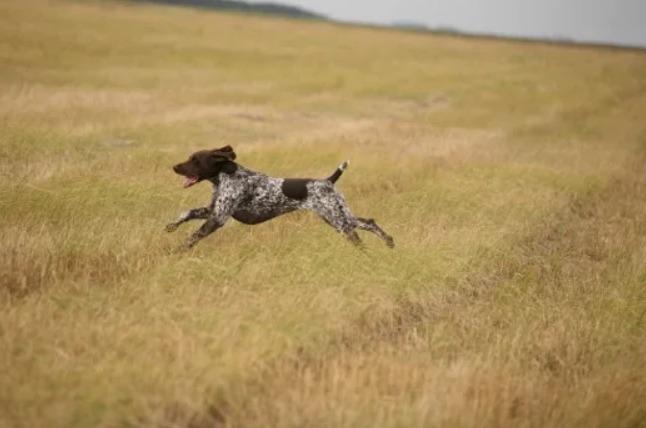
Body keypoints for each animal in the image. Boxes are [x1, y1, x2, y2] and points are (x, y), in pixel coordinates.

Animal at [166, 145, 394, 249]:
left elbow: (192, 238)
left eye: (195, 160)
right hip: (338, 216)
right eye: (190, 158)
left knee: (359, 236)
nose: (174, 167)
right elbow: (188, 212)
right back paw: (389, 243)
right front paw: (172, 225)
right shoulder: (213, 210)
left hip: (338, 220)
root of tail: (328, 181)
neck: (226, 175)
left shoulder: (218, 218)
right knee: (369, 222)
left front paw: (175, 252)